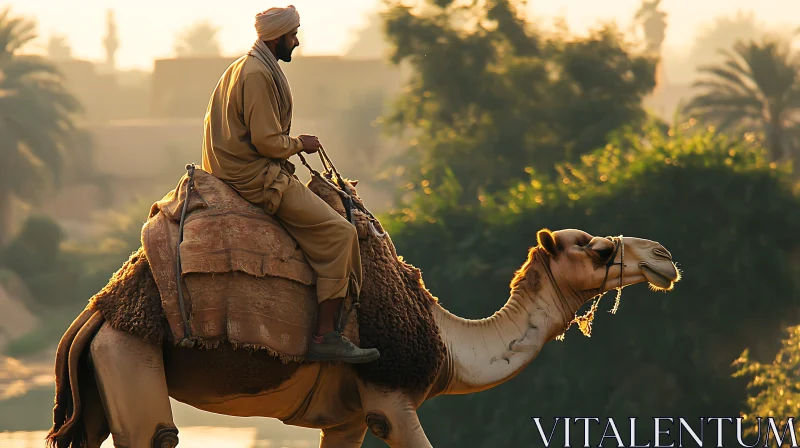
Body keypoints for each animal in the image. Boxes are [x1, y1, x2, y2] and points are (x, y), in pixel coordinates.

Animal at [43, 178, 680, 444]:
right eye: (595, 248)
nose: (664, 256)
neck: (449, 342)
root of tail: (95, 314)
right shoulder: (390, 400)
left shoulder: (346, 419)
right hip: (129, 355)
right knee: (155, 434)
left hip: (100, 376)